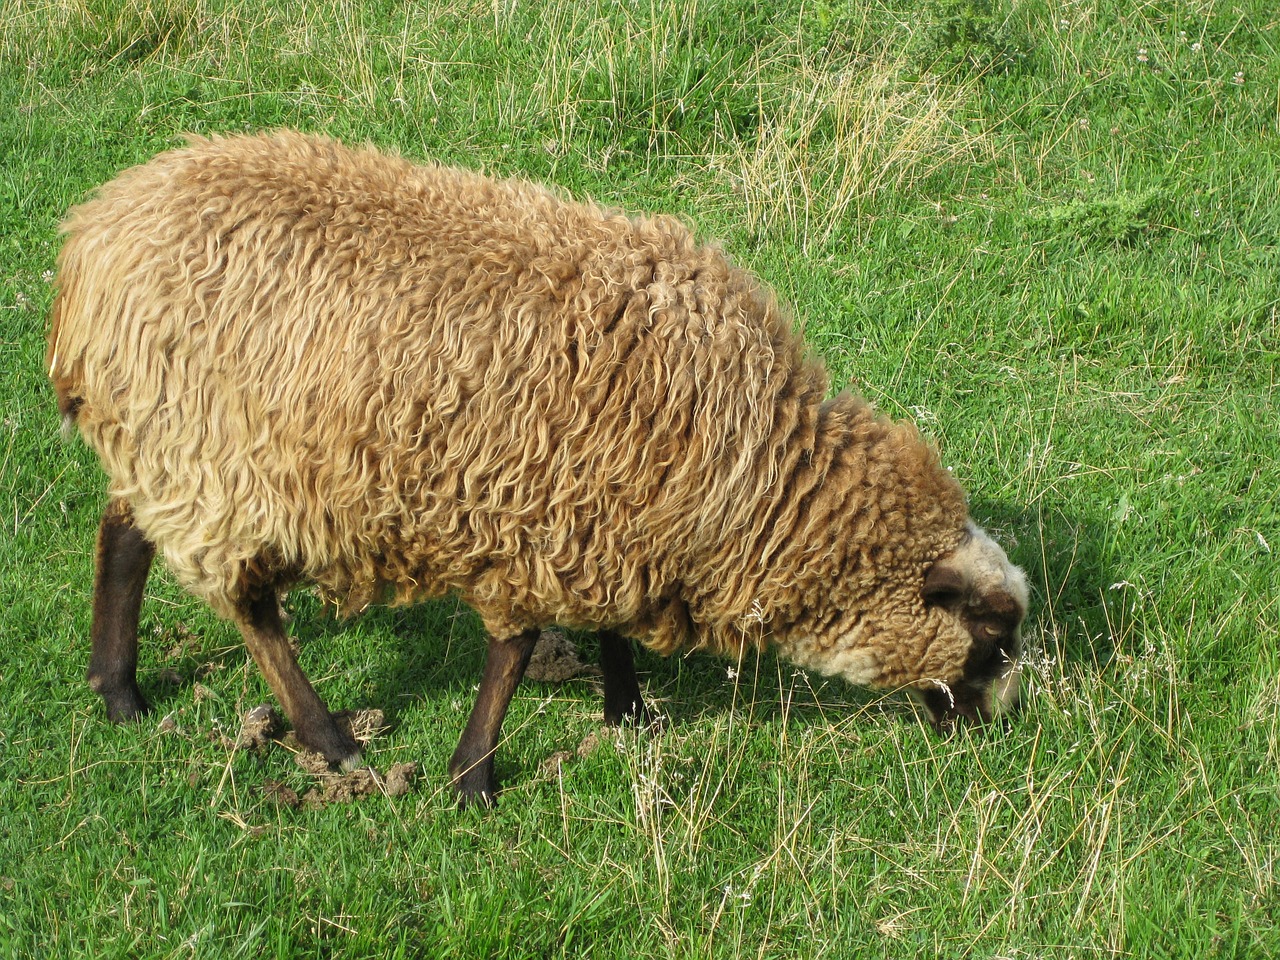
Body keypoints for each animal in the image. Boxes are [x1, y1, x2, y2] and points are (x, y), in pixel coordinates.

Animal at [49, 128, 1029, 803]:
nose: (1004, 724)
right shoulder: (542, 519)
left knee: (123, 529)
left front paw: (629, 712)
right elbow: (515, 651)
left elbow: (608, 627)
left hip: (168, 442)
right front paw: (473, 777)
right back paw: (329, 739)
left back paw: (118, 690)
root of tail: (94, 235)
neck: (758, 479)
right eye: (993, 633)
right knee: (248, 606)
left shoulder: (610, 520)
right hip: (223, 466)